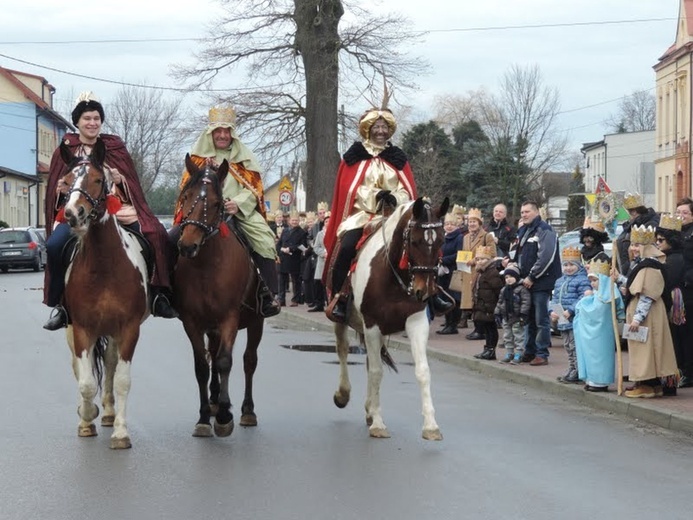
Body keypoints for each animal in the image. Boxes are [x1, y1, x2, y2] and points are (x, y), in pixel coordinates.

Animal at [60, 140, 150, 448]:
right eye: (65, 182)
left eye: (99, 180)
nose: (73, 213)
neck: (103, 266)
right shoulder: (81, 328)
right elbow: (86, 382)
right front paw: (86, 417)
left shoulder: (129, 328)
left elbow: (121, 380)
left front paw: (121, 432)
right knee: (80, 368)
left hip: (113, 331)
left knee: (110, 366)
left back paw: (110, 413)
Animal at [173, 155, 264, 438]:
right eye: (186, 196)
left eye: (216, 203)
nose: (187, 245)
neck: (207, 265)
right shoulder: (191, 321)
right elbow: (202, 366)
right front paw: (204, 416)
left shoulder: (229, 318)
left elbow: (225, 361)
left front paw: (225, 416)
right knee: (212, 356)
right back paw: (213, 402)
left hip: (256, 321)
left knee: (248, 360)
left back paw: (247, 411)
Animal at [332, 197, 448, 440]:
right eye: (414, 241)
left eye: (442, 240)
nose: (425, 291)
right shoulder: (372, 323)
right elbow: (377, 371)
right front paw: (378, 423)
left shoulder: (416, 322)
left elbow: (422, 371)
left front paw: (431, 426)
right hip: (343, 319)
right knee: (343, 349)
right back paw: (344, 395)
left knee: (369, 360)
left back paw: (369, 409)